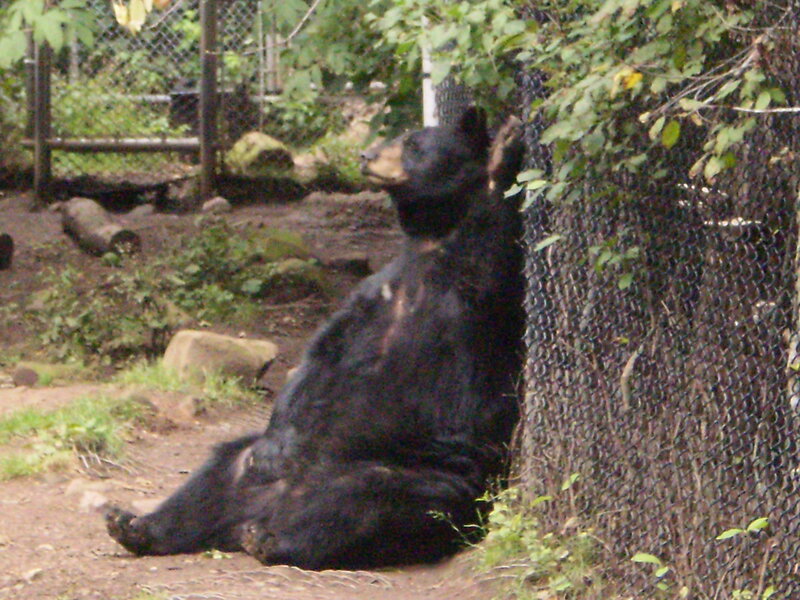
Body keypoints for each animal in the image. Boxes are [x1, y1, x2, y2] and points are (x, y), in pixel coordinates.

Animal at [105, 107, 526, 570]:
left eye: (414, 144)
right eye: (400, 136)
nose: (367, 155)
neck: (431, 243)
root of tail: (267, 505)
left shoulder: (477, 294)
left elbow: (495, 241)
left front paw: (504, 150)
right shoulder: (379, 292)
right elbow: (323, 357)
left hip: (423, 476)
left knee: (367, 504)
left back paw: (270, 538)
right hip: (239, 466)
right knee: (208, 482)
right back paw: (135, 524)